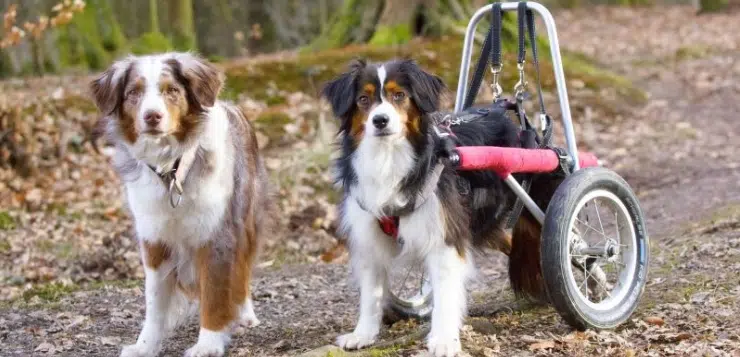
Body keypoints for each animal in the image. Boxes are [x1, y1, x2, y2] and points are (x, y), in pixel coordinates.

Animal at [88, 52, 270, 356]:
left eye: (171, 90)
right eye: (134, 93)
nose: (152, 116)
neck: (171, 171)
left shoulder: (217, 234)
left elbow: (215, 293)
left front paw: (208, 344)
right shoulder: (154, 240)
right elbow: (154, 302)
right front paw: (145, 346)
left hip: (247, 217)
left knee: (242, 268)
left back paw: (245, 314)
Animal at [320, 59, 556, 354]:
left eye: (399, 95)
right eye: (363, 99)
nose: (380, 120)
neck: (388, 156)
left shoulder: (444, 238)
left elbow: (445, 295)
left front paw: (444, 340)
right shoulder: (370, 236)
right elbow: (371, 292)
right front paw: (363, 334)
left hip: (535, 205)